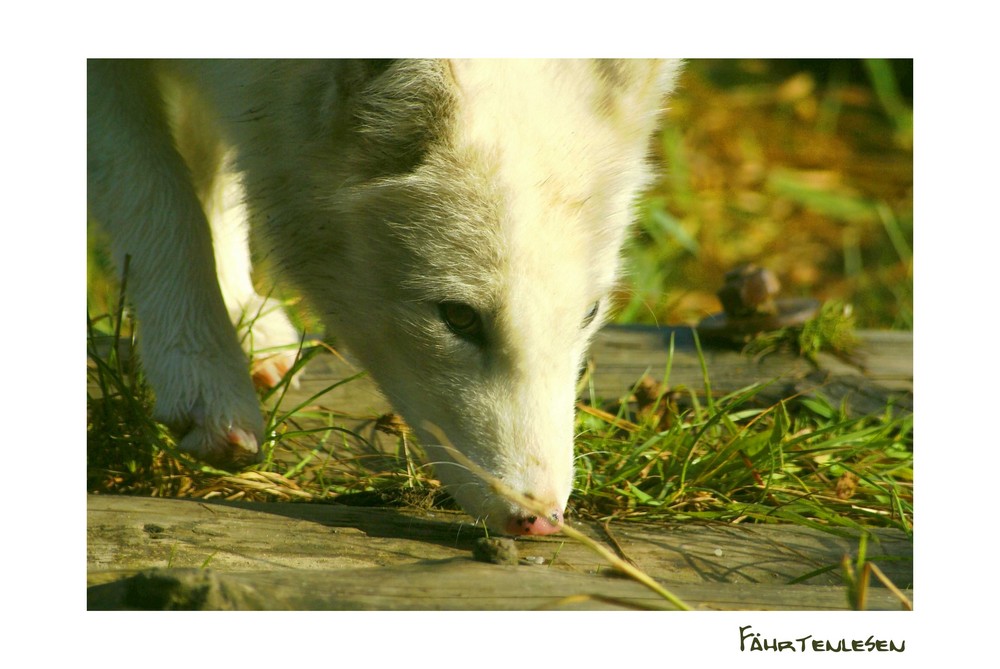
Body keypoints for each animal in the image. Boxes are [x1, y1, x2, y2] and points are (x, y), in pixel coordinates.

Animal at [88, 60, 680, 536]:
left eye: (589, 314)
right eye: (458, 318)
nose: (541, 519)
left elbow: (211, 172)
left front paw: (241, 317)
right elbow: (158, 193)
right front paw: (203, 373)